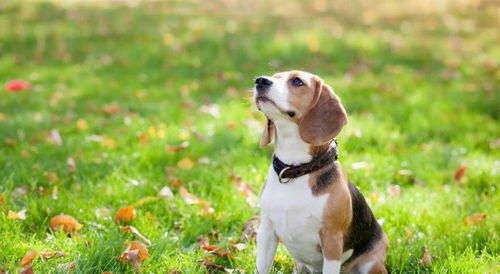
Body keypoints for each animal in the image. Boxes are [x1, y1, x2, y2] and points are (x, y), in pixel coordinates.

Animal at [254, 71, 386, 274]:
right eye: (274, 76)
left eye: (297, 81)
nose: (260, 80)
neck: (296, 170)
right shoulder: (266, 231)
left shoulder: (332, 239)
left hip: (371, 263)